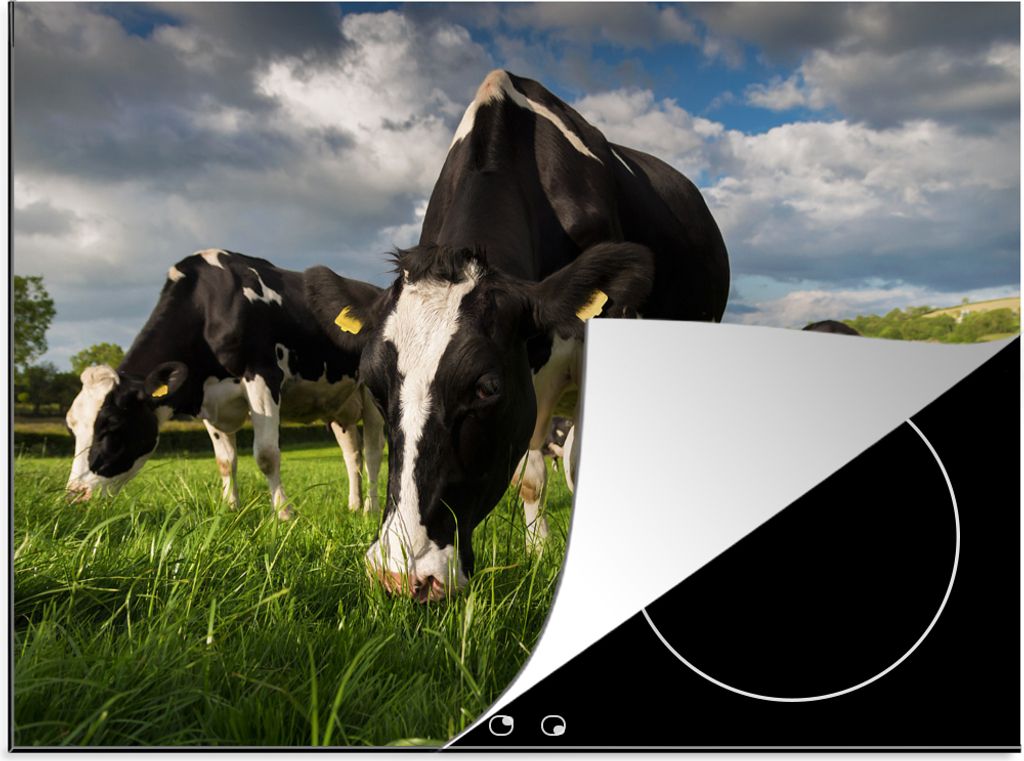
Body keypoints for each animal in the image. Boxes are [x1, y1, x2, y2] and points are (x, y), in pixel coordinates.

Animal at [65, 249, 385, 519]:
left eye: (113, 426)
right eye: (72, 427)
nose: (74, 496)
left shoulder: (263, 375)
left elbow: (266, 455)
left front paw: (284, 514)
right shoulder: (208, 400)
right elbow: (225, 461)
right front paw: (230, 508)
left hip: (371, 395)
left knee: (372, 452)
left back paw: (371, 509)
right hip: (339, 405)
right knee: (352, 454)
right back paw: (354, 505)